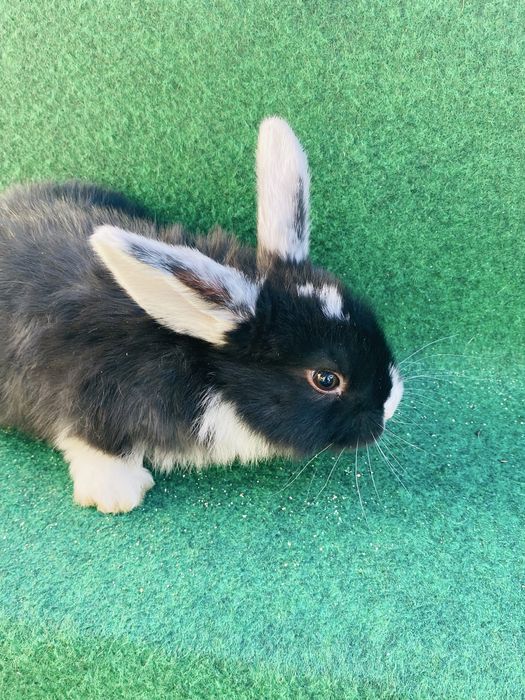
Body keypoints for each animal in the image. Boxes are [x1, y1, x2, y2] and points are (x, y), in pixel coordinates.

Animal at [0, 117, 403, 513]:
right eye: (326, 379)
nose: (391, 404)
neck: (201, 368)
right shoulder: (84, 390)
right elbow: (90, 441)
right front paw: (118, 494)